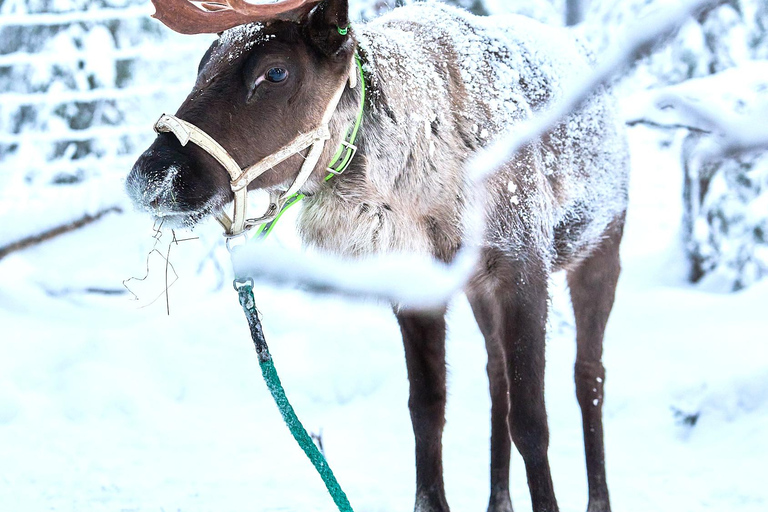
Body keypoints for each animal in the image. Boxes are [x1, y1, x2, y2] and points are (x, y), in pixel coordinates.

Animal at [126, 1, 630, 511]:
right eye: (202, 66)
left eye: (276, 72)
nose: (150, 178)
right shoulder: (415, 282)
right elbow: (426, 410)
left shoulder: (523, 265)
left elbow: (531, 423)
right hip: (478, 288)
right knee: (496, 376)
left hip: (603, 245)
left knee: (589, 375)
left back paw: (599, 496)